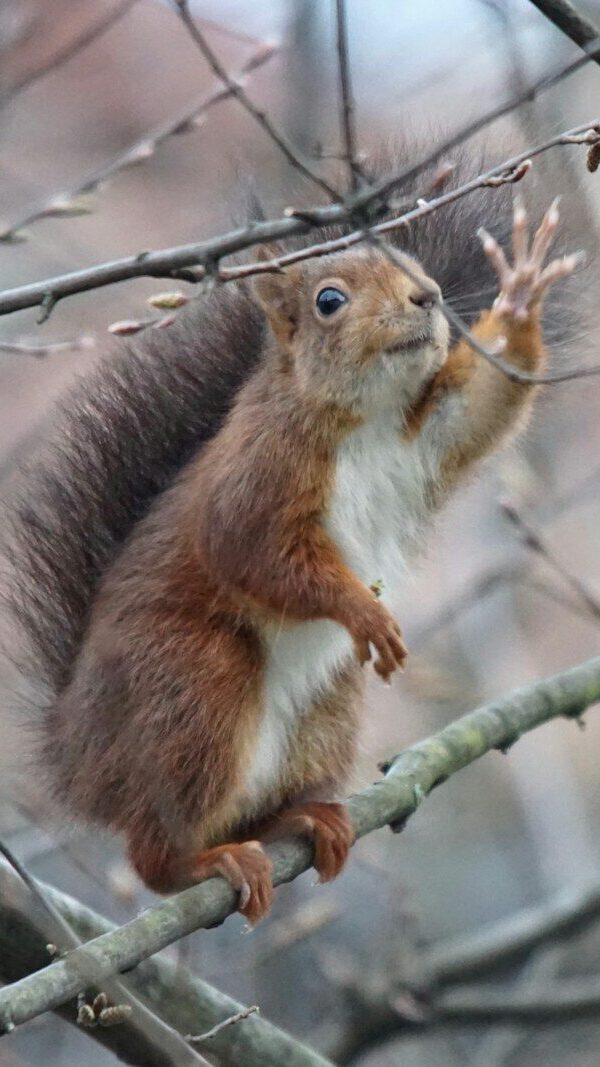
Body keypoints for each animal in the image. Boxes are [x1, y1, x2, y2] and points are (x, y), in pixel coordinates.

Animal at [6, 149, 580, 924]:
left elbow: (483, 408)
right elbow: (252, 550)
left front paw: (519, 300)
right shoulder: (257, 476)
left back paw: (302, 819)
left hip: (325, 711)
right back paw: (202, 861)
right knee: (154, 852)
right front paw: (362, 610)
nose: (427, 297)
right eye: (328, 300)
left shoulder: (432, 431)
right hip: (194, 684)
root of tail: (78, 758)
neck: (368, 416)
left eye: (410, 264)